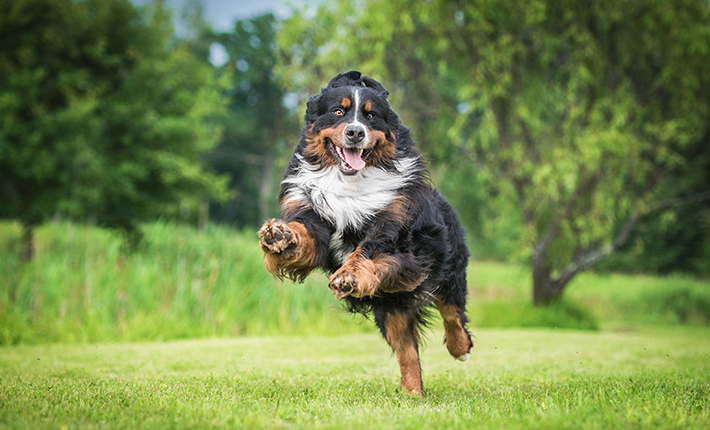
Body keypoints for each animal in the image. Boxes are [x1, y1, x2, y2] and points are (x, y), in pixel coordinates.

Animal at [258, 70, 476, 396]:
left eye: (371, 116)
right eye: (338, 111)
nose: (355, 133)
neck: (350, 181)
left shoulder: (399, 236)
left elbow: (369, 250)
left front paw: (349, 276)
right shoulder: (316, 219)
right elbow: (305, 235)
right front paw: (280, 237)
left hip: (446, 268)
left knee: (452, 312)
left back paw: (459, 348)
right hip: (392, 309)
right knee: (408, 354)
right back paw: (412, 395)